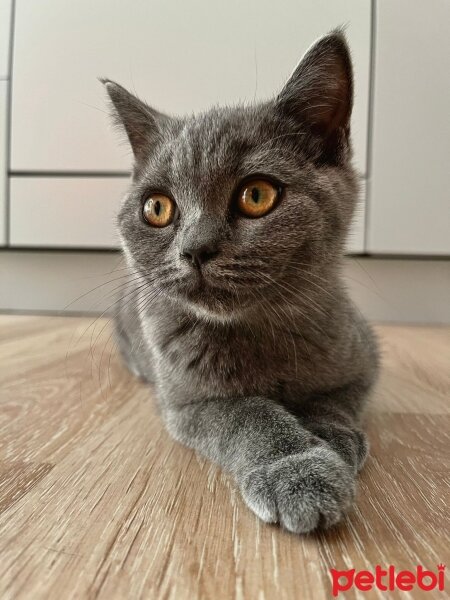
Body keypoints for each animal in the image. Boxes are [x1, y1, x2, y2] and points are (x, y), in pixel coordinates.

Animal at [103, 30, 378, 532]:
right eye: (157, 207)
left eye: (257, 195)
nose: (195, 249)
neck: (259, 330)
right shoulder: (188, 404)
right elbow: (246, 413)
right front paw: (297, 469)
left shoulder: (365, 360)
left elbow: (334, 400)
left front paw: (335, 440)